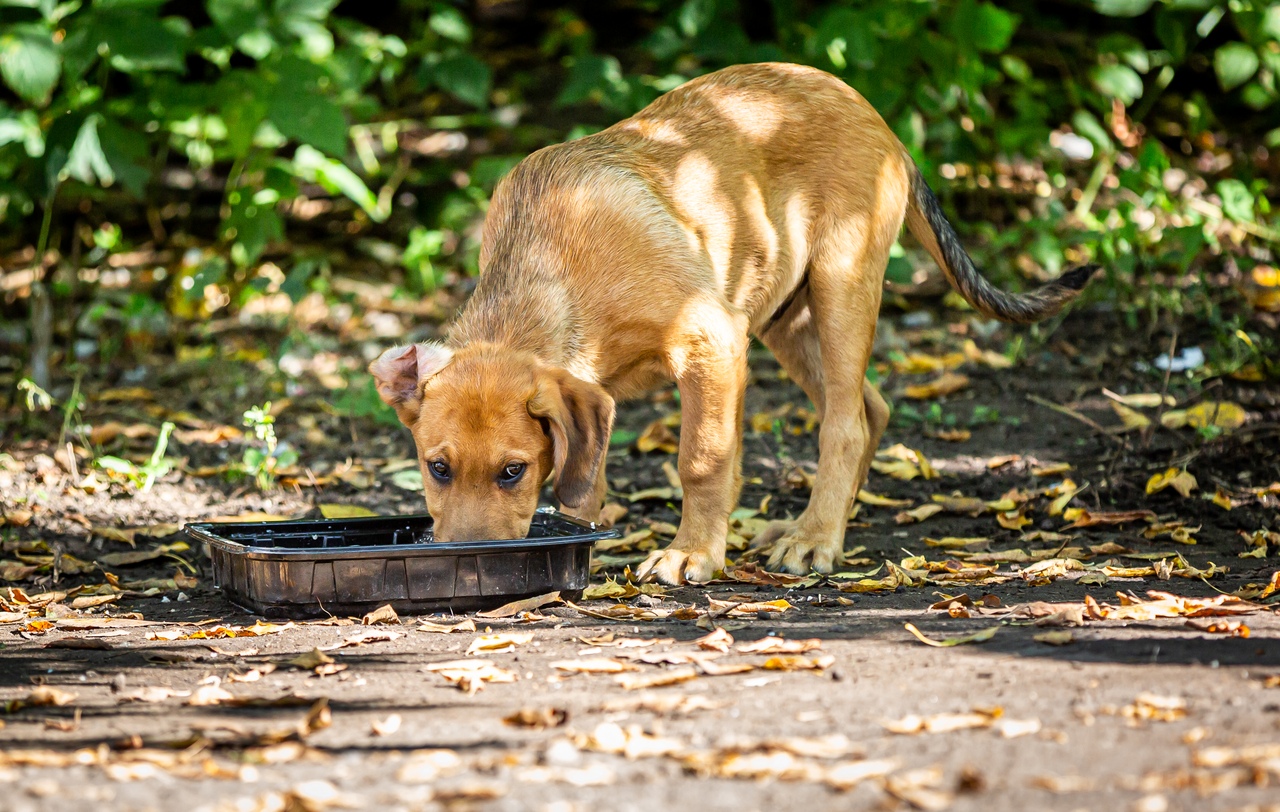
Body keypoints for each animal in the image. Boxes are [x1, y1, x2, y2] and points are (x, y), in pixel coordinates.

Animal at [368, 61, 1090, 581]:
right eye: (436, 469)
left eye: (513, 472)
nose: (462, 560)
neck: (553, 266)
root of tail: (880, 122)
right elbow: (596, 479)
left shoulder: (708, 338)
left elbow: (702, 458)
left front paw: (693, 554)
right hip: (784, 318)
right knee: (871, 407)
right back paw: (813, 526)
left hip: (841, 284)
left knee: (846, 423)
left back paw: (816, 541)